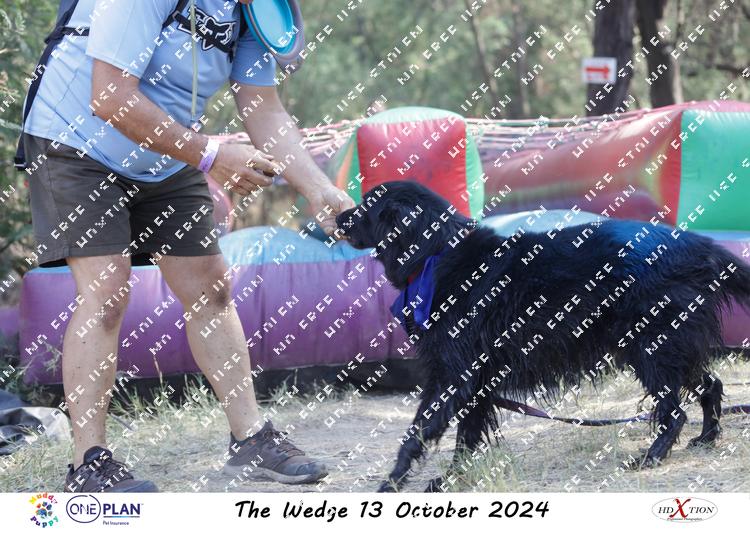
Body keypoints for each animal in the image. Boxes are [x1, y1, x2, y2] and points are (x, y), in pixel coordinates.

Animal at [335, 181, 750, 492]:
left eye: (367, 205)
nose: (337, 217)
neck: (436, 253)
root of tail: (698, 246)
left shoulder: (453, 377)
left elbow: (418, 434)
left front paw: (390, 484)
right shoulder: (477, 382)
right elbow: (466, 438)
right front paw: (452, 479)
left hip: (652, 347)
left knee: (674, 411)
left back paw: (651, 456)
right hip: (672, 347)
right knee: (710, 385)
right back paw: (707, 438)